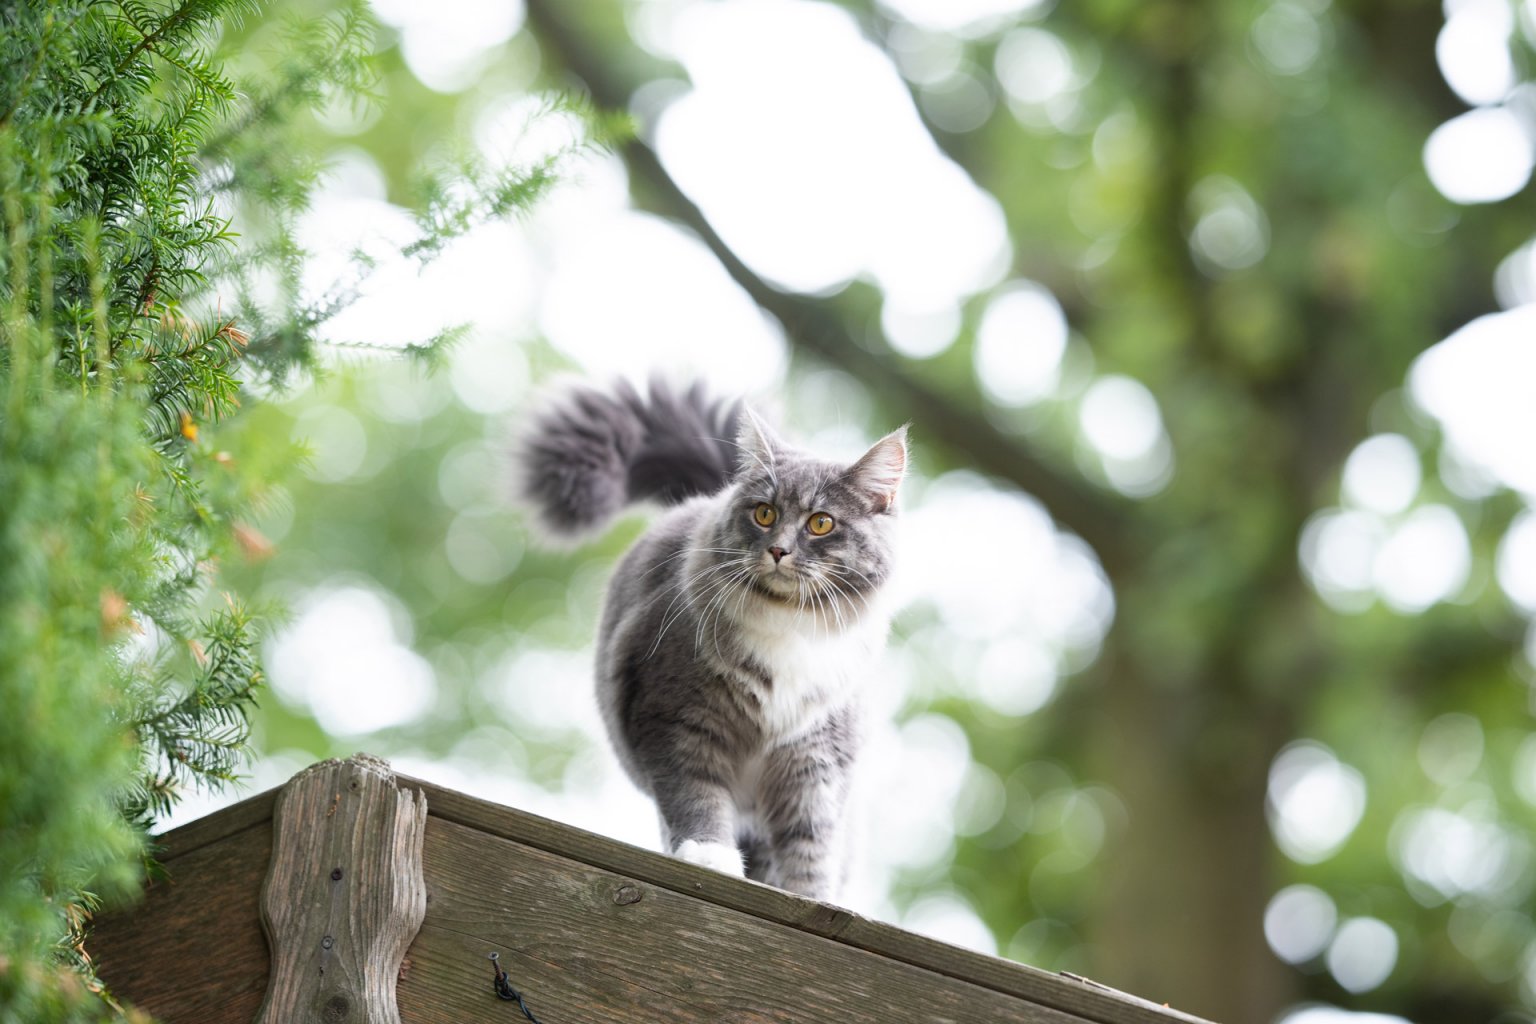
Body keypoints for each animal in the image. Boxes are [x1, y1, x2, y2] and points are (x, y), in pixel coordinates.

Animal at [519, 380, 897, 902]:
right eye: (765, 513)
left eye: (821, 523)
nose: (778, 550)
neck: (789, 624)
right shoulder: (678, 718)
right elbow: (696, 795)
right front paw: (709, 857)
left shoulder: (817, 754)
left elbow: (810, 839)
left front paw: (811, 898)